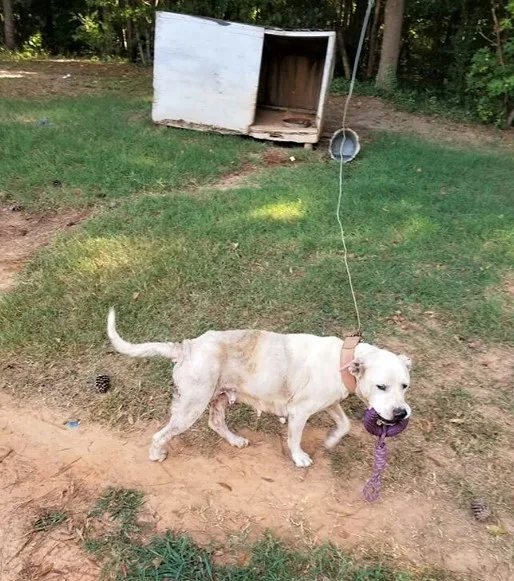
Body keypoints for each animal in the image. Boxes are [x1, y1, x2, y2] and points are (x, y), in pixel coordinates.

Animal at [106, 308, 410, 466]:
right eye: (381, 386)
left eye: (405, 386)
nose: (401, 413)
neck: (343, 360)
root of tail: (186, 347)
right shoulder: (300, 412)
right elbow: (294, 438)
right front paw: (299, 458)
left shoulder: (330, 403)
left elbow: (345, 424)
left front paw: (332, 440)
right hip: (191, 406)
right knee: (162, 434)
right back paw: (156, 454)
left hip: (218, 397)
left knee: (216, 423)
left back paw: (235, 440)